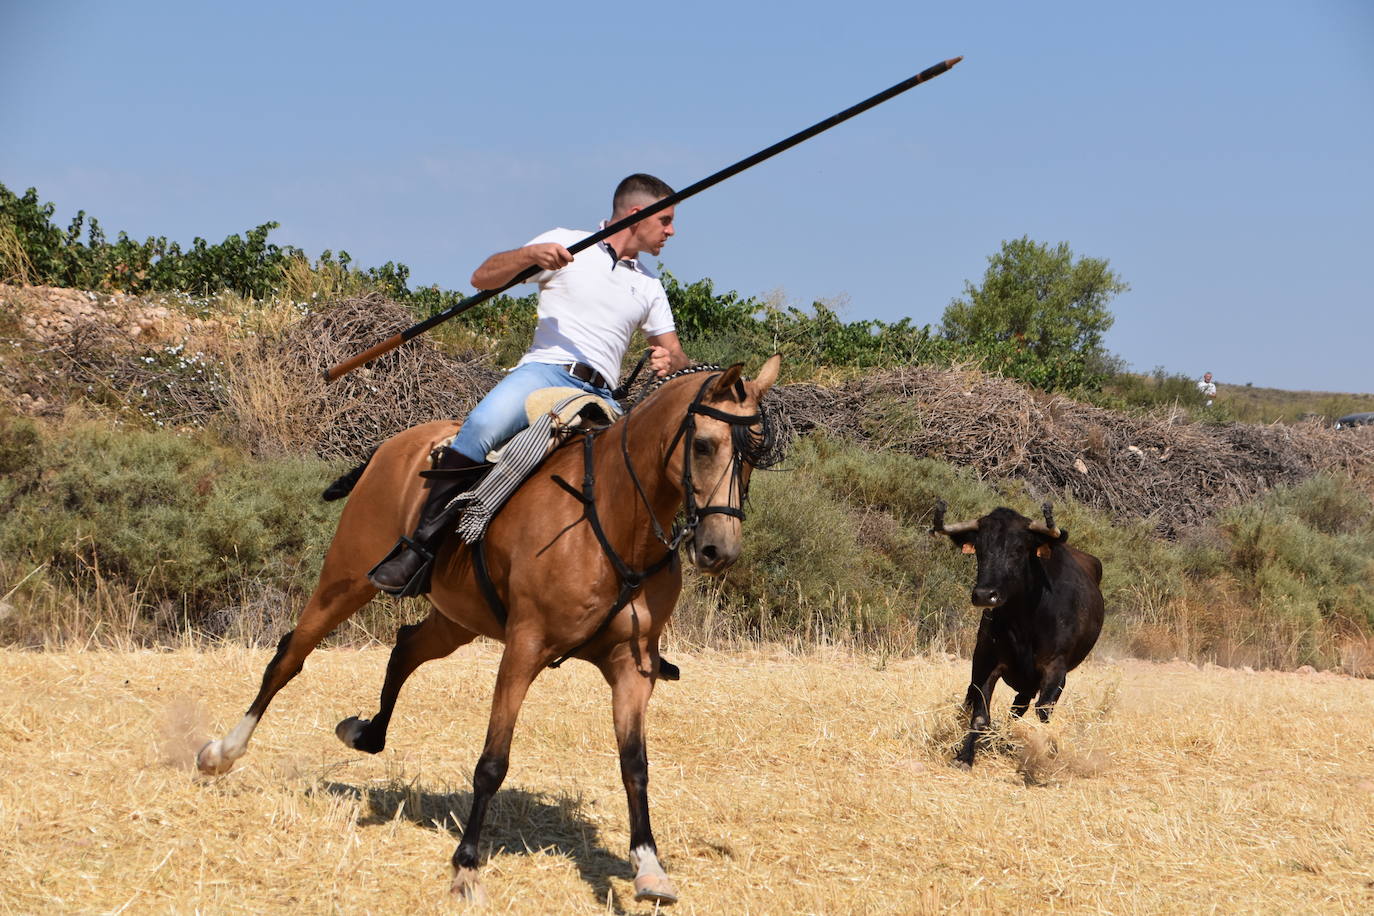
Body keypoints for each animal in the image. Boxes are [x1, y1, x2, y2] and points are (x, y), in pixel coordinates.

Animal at [195, 354, 785, 906]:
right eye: (704, 445)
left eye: (755, 453)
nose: (719, 550)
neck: (616, 520)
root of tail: (397, 445)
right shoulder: (524, 648)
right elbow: (492, 762)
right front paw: (466, 867)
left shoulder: (631, 667)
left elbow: (635, 765)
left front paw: (649, 866)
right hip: (346, 579)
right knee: (289, 657)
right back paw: (222, 752)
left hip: (455, 619)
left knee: (405, 648)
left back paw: (366, 733)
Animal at [928, 502, 1110, 769]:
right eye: (979, 549)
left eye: (1019, 549)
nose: (985, 595)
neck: (1024, 623)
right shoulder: (986, 659)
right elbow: (980, 714)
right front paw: (964, 756)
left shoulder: (1055, 668)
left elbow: (1043, 713)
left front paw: (1048, 751)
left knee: (1021, 709)